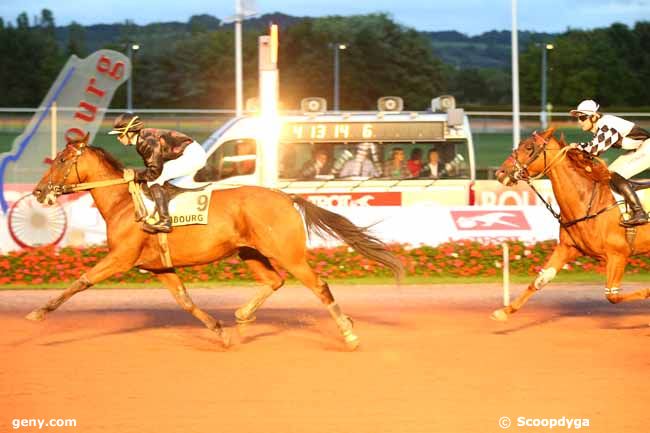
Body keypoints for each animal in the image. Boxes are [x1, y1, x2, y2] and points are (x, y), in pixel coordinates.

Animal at [27, 135, 402, 348]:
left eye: (61, 160)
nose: (38, 192)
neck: (124, 202)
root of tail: (286, 196)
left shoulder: (121, 257)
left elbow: (80, 282)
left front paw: (38, 312)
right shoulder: (160, 267)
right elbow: (185, 301)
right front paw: (220, 331)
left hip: (288, 253)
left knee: (319, 285)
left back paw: (349, 334)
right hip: (250, 252)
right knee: (274, 281)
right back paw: (243, 316)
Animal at [494, 126, 644, 318]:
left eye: (529, 147)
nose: (500, 173)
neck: (589, 202)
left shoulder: (618, 255)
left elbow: (613, 296)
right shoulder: (568, 247)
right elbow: (539, 280)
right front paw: (505, 311)